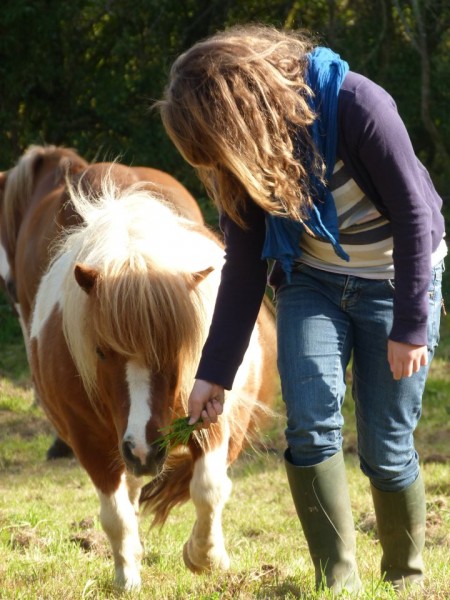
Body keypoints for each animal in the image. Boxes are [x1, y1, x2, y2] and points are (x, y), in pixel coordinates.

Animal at [29, 179, 278, 592]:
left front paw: (204, 556)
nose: (145, 450)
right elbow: (115, 514)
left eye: (178, 348)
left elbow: (208, 489)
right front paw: (126, 576)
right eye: (100, 350)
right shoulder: (90, 442)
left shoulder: (212, 419)